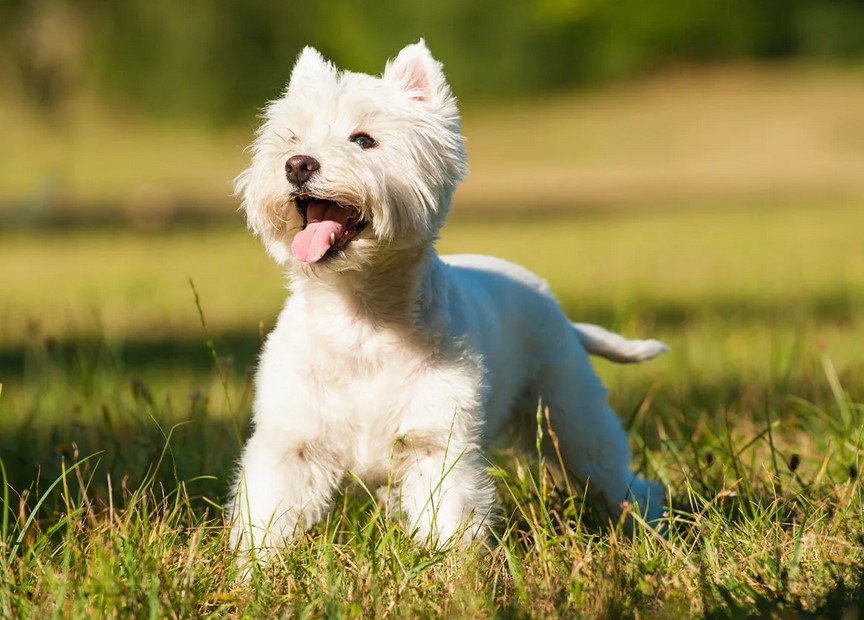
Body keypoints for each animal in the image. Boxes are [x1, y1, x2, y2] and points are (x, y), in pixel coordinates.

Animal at [230, 40, 668, 556]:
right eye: (291, 136)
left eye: (363, 140)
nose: (298, 164)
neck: (360, 317)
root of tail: (555, 307)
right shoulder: (291, 445)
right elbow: (266, 520)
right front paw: (254, 569)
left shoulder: (437, 445)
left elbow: (449, 522)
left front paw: (449, 570)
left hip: (570, 417)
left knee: (620, 481)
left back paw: (651, 531)